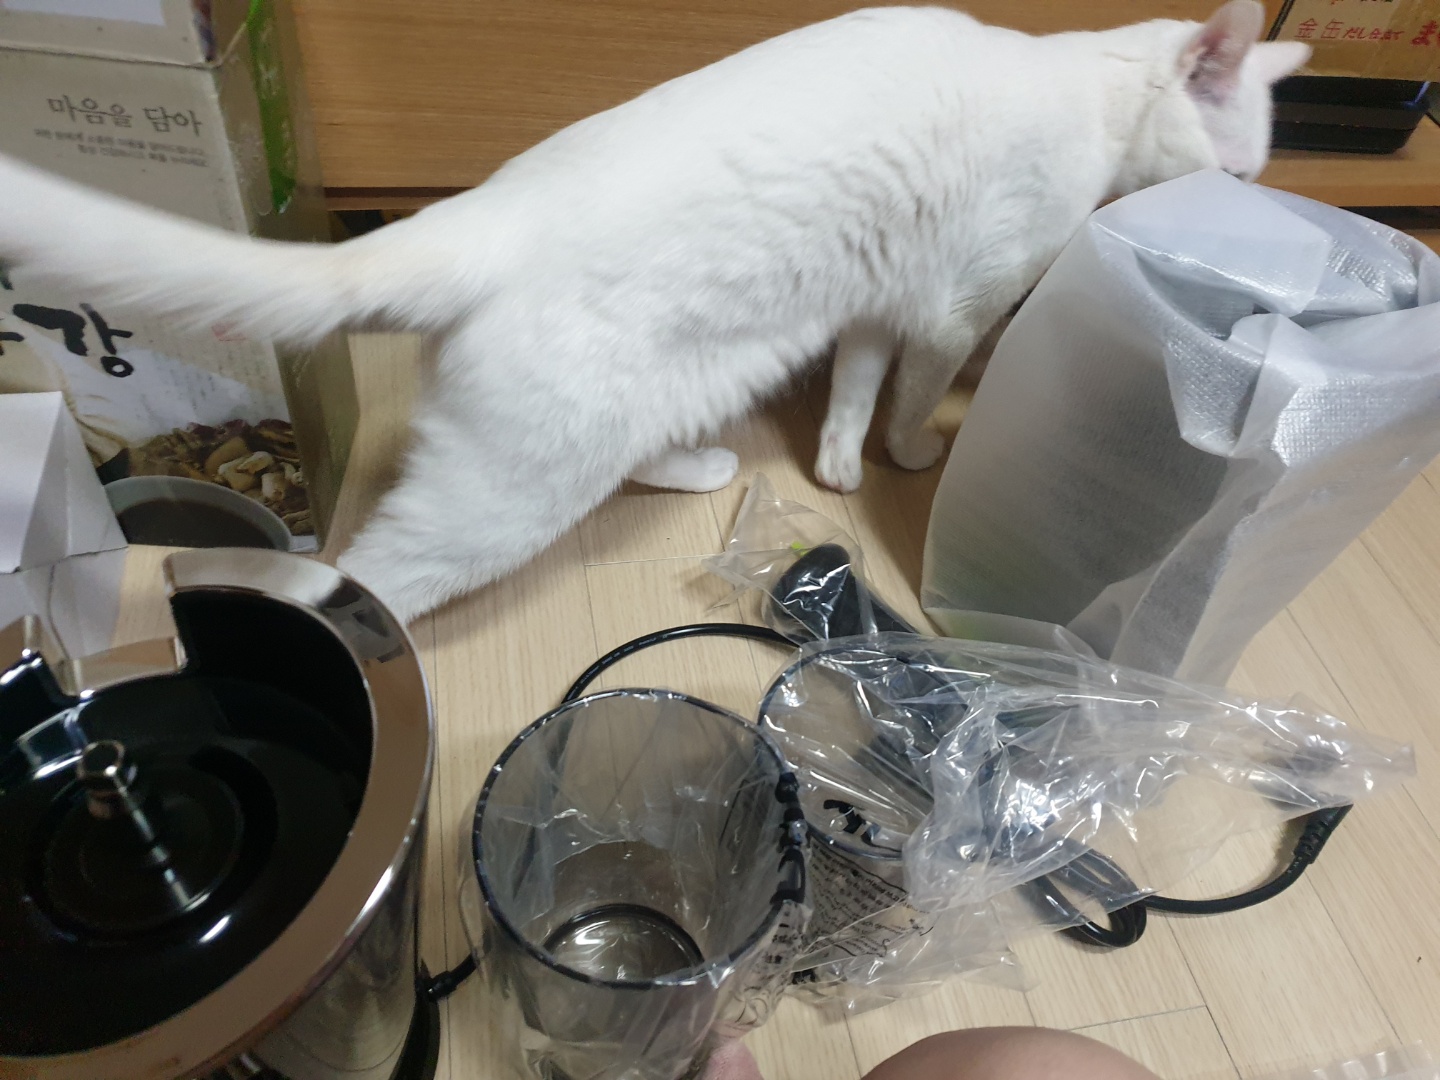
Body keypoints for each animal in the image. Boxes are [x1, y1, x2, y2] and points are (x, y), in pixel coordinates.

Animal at [0, 2, 1307, 623]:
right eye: (1235, 175)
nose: (1246, 213)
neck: (1088, 89)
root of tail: (485, 214)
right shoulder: (955, 301)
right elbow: (912, 396)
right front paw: (909, 457)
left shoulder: (877, 297)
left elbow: (851, 391)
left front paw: (839, 469)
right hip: (507, 493)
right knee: (362, 576)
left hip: (674, 389)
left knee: (631, 463)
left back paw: (705, 468)